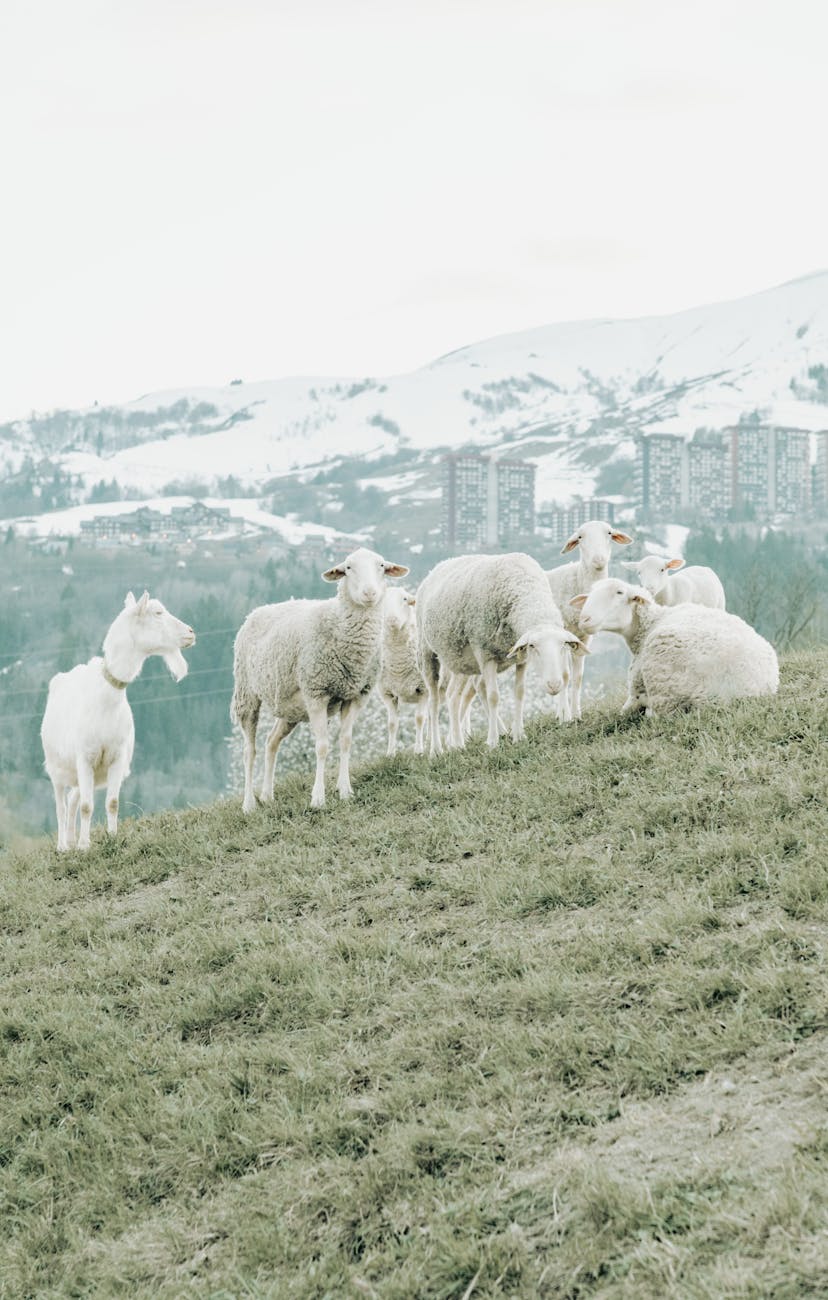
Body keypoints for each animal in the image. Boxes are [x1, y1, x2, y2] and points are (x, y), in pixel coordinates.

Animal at [40, 591, 195, 851]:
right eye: (158, 612)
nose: (191, 632)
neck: (105, 701)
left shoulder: (116, 757)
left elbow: (112, 802)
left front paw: (112, 838)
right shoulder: (85, 757)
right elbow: (87, 806)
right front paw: (85, 846)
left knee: (73, 799)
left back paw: (71, 840)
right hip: (56, 768)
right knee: (61, 805)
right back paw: (63, 846)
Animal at [231, 546, 408, 810]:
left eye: (381, 566)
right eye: (348, 568)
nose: (369, 593)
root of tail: (256, 611)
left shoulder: (356, 694)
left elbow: (346, 741)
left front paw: (345, 790)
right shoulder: (317, 693)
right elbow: (322, 746)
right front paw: (318, 798)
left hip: (290, 708)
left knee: (271, 742)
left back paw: (267, 795)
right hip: (247, 694)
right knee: (249, 750)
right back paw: (249, 804)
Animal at [377, 587, 428, 756]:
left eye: (405, 599)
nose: (392, 619)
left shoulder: (424, 690)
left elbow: (419, 718)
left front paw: (418, 751)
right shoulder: (387, 693)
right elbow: (392, 723)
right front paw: (390, 753)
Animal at [417, 552, 587, 753]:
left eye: (563, 645)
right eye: (533, 646)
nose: (553, 685)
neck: (524, 589)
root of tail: (439, 566)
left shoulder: (521, 658)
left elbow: (519, 692)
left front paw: (519, 735)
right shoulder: (485, 654)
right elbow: (493, 697)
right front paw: (492, 742)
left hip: (460, 661)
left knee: (452, 696)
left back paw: (458, 744)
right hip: (427, 654)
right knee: (434, 702)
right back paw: (436, 749)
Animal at [545, 520, 634, 720]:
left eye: (609, 533)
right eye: (580, 537)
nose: (599, 559)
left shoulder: (582, 638)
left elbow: (577, 677)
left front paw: (576, 715)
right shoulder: (560, 635)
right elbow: (565, 675)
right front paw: (564, 716)